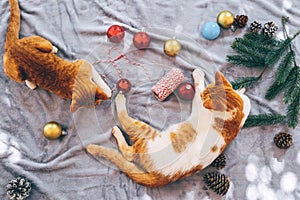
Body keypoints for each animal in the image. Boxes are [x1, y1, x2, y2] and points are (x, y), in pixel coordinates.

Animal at [86, 69, 251, 188]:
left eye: (205, 96)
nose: (204, 98)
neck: (234, 114)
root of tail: (161, 177)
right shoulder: (245, 106)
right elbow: (242, 97)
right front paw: (241, 89)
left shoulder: (199, 105)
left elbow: (198, 88)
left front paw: (198, 75)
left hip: (146, 133)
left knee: (128, 149)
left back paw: (119, 106)